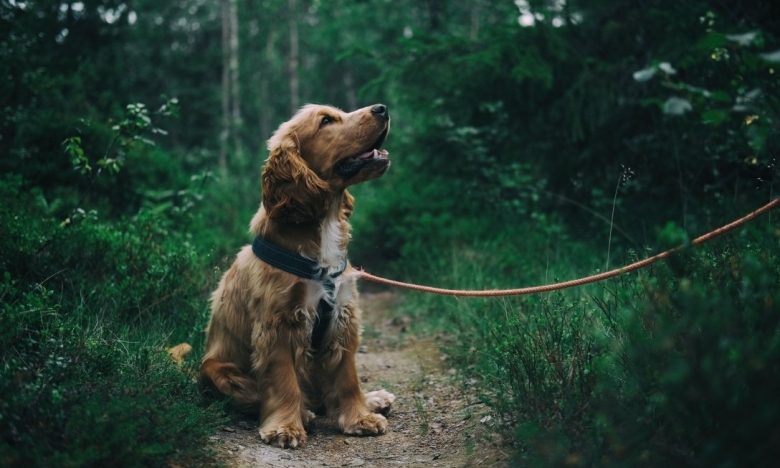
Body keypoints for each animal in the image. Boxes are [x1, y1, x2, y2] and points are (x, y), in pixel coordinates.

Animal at [201, 104, 396, 448]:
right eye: (326, 121)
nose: (382, 108)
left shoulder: (343, 316)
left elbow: (347, 377)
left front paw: (359, 417)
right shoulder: (278, 323)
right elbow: (283, 381)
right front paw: (285, 427)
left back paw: (373, 398)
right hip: (218, 370)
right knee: (258, 396)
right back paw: (303, 413)